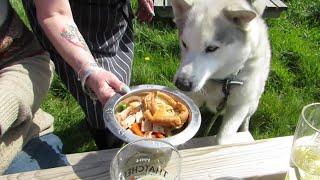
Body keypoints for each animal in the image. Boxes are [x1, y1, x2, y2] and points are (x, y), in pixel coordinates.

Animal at [171, 0, 272, 144]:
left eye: (212, 48)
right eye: (184, 44)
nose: (182, 84)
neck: (222, 81)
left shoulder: (238, 107)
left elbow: (221, 140)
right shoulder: (193, 98)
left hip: (252, 103)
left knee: (247, 117)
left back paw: (245, 130)